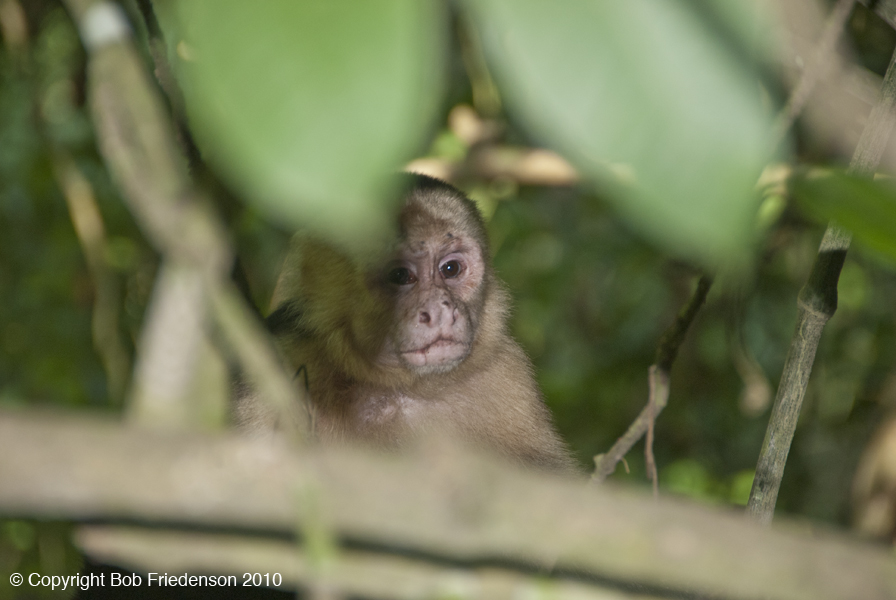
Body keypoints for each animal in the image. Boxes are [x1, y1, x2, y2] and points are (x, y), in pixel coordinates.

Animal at [236, 175, 576, 474]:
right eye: (400, 276)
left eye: (451, 269)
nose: (440, 311)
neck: (401, 386)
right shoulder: (278, 365)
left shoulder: (508, 373)